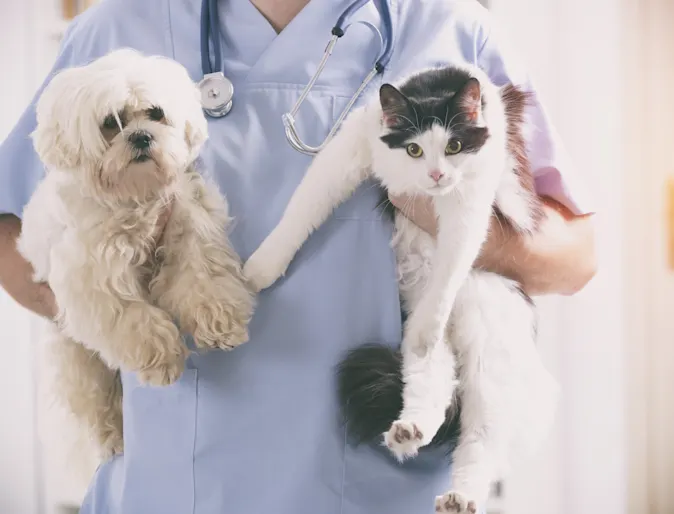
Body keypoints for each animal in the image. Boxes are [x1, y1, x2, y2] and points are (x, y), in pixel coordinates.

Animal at [18, 47, 256, 456]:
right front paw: (161, 358)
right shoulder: (95, 279)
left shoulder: (188, 226)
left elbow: (203, 279)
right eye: (110, 124)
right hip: (76, 361)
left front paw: (219, 321)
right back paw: (112, 434)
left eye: (156, 113)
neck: (135, 198)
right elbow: (133, 319)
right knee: (95, 399)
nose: (142, 137)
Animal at [242, 65, 556, 512]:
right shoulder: (350, 149)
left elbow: (452, 263)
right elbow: (301, 209)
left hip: (491, 366)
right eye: (414, 150)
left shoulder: (469, 200)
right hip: (428, 352)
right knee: (433, 385)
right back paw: (408, 432)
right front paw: (262, 268)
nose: (437, 175)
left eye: (454, 145)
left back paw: (460, 495)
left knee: (480, 443)